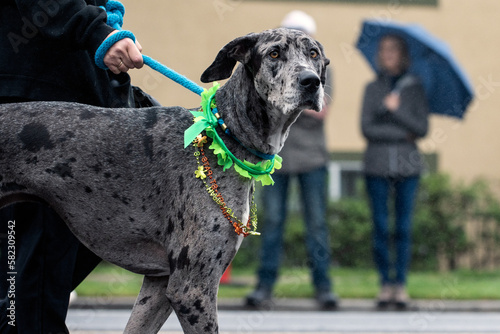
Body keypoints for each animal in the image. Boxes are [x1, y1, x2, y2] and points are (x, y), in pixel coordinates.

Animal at [0, 27, 328, 332]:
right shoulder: (192, 288)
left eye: (313, 54)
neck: (225, 132)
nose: (311, 81)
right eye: (274, 53)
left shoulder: (160, 285)